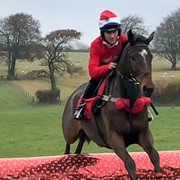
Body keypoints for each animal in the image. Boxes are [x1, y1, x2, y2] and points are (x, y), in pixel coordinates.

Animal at [62, 30, 162, 179]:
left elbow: (154, 156)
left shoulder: (143, 133)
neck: (129, 101)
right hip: (70, 133)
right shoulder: (114, 138)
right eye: (133, 57)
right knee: (67, 148)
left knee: (77, 150)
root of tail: (72, 96)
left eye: (150, 56)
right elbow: (130, 163)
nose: (148, 88)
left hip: (84, 134)